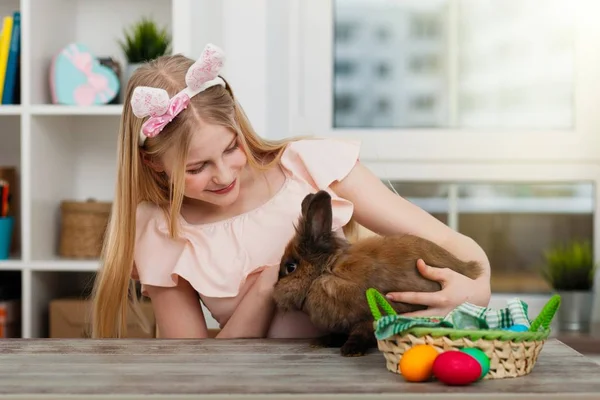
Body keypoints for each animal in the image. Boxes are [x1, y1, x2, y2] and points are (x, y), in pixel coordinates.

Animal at [272, 190, 482, 356]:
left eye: (290, 267)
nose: (273, 291)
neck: (326, 271)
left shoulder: (369, 317)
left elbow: (361, 333)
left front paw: (350, 350)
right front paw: (320, 342)